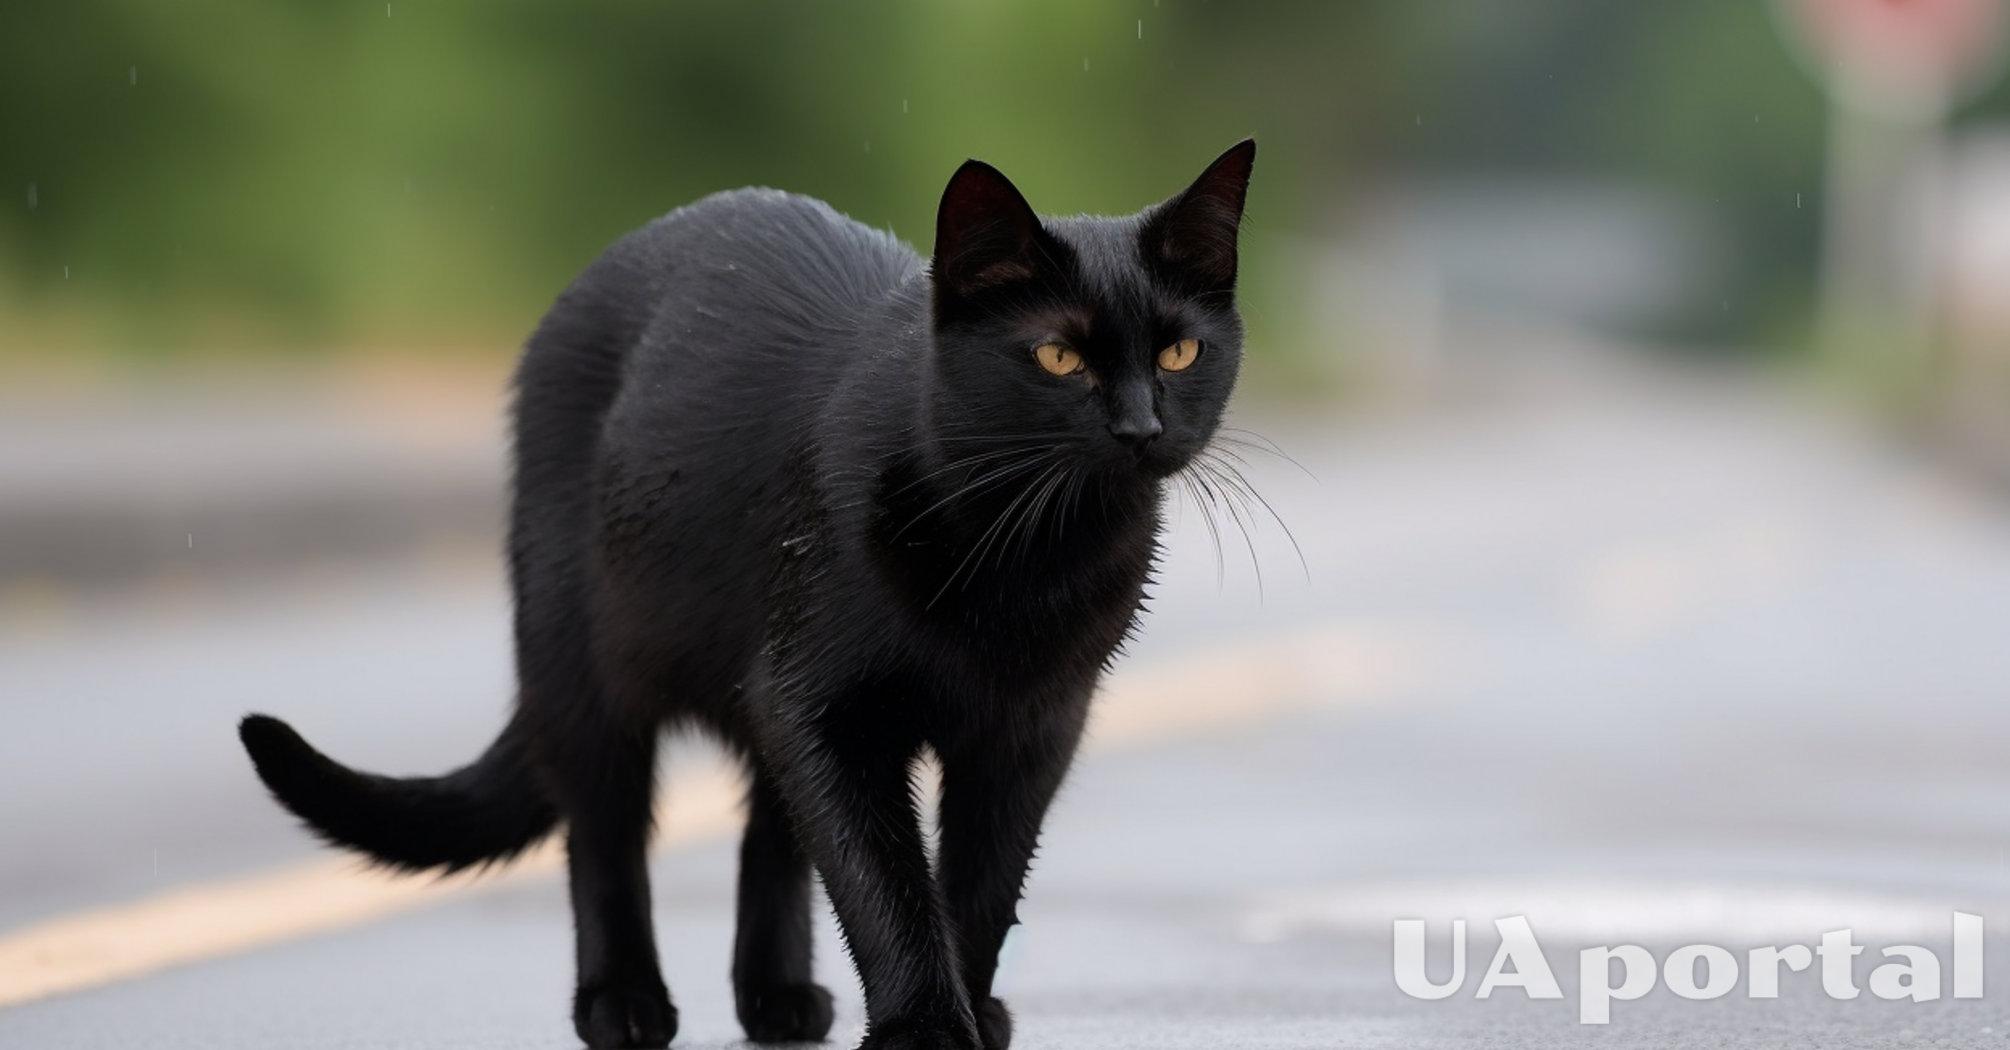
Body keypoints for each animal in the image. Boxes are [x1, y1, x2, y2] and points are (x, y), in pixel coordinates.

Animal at [239, 138, 1254, 1045]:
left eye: (1179, 354)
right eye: (1057, 359)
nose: (1140, 427)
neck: (1026, 555)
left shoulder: (1033, 723)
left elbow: (983, 879)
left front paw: (970, 1008)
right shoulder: (824, 703)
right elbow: (882, 875)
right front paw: (925, 1025)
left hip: (758, 672)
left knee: (769, 831)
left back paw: (776, 999)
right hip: (588, 668)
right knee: (605, 836)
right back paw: (622, 1004)